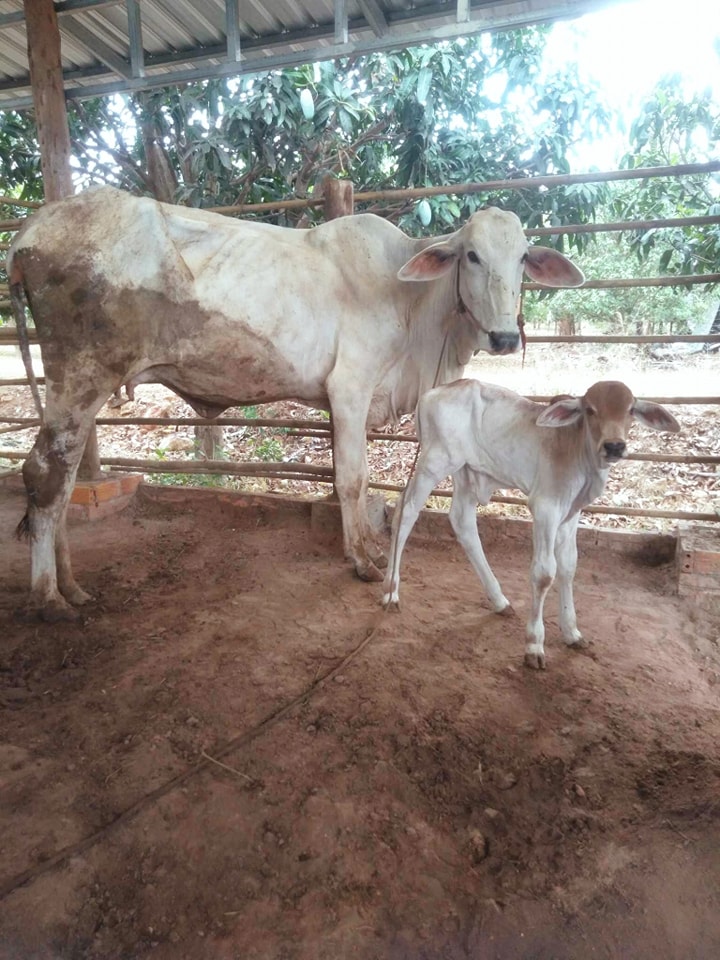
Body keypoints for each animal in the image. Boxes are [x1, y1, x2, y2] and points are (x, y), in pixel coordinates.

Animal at [8, 186, 584, 621]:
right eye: (472, 254)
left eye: (523, 257)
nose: (505, 337)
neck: (412, 303)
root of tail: (31, 230)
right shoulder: (349, 389)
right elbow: (351, 479)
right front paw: (363, 562)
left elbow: (357, 481)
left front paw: (368, 546)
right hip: (81, 375)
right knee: (44, 474)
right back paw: (49, 597)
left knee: (60, 480)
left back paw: (70, 584)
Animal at [382, 380, 681, 669]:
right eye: (590, 410)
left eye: (630, 409)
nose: (614, 446)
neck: (577, 451)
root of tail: (434, 392)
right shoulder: (545, 508)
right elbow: (545, 573)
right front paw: (535, 645)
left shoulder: (571, 513)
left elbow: (569, 566)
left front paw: (572, 632)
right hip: (434, 463)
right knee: (405, 511)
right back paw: (390, 592)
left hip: (467, 472)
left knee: (462, 521)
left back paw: (499, 601)